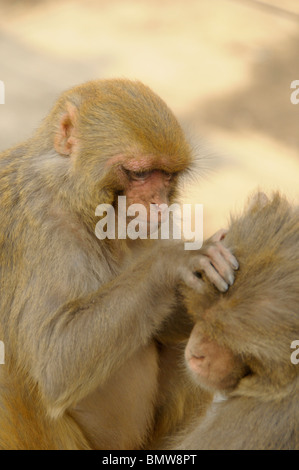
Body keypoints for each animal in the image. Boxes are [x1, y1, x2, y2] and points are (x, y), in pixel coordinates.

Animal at [0, 79, 239, 450]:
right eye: (139, 173)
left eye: (166, 176)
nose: (157, 204)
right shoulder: (39, 221)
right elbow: (55, 361)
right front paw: (175, 261)